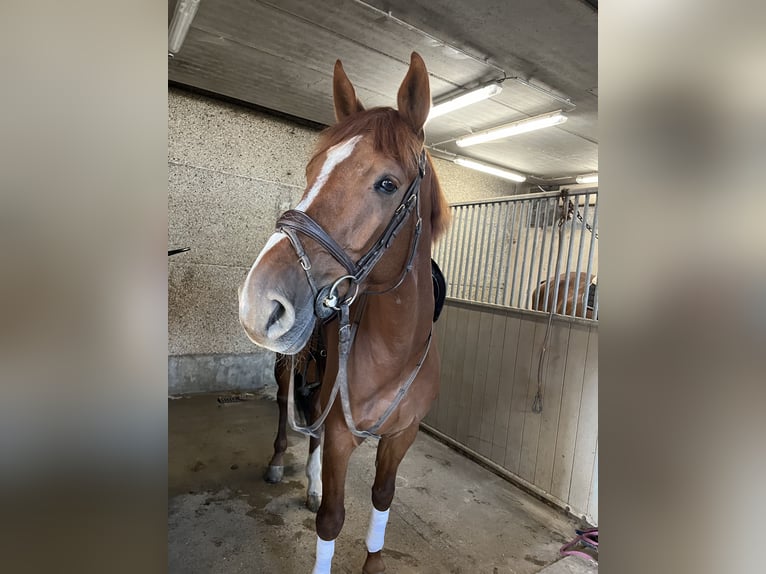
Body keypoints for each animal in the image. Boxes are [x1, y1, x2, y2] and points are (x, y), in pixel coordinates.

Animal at [240, 54, 450, 574]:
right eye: (313, 169)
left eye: (387, 183)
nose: (258, 301)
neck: (396, 348)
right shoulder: (340, 434)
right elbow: (332, 521)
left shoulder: (400, 437)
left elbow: (382, 500)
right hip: (287, 367)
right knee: (284, 411)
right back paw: (279, 463)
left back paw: (311, 484)